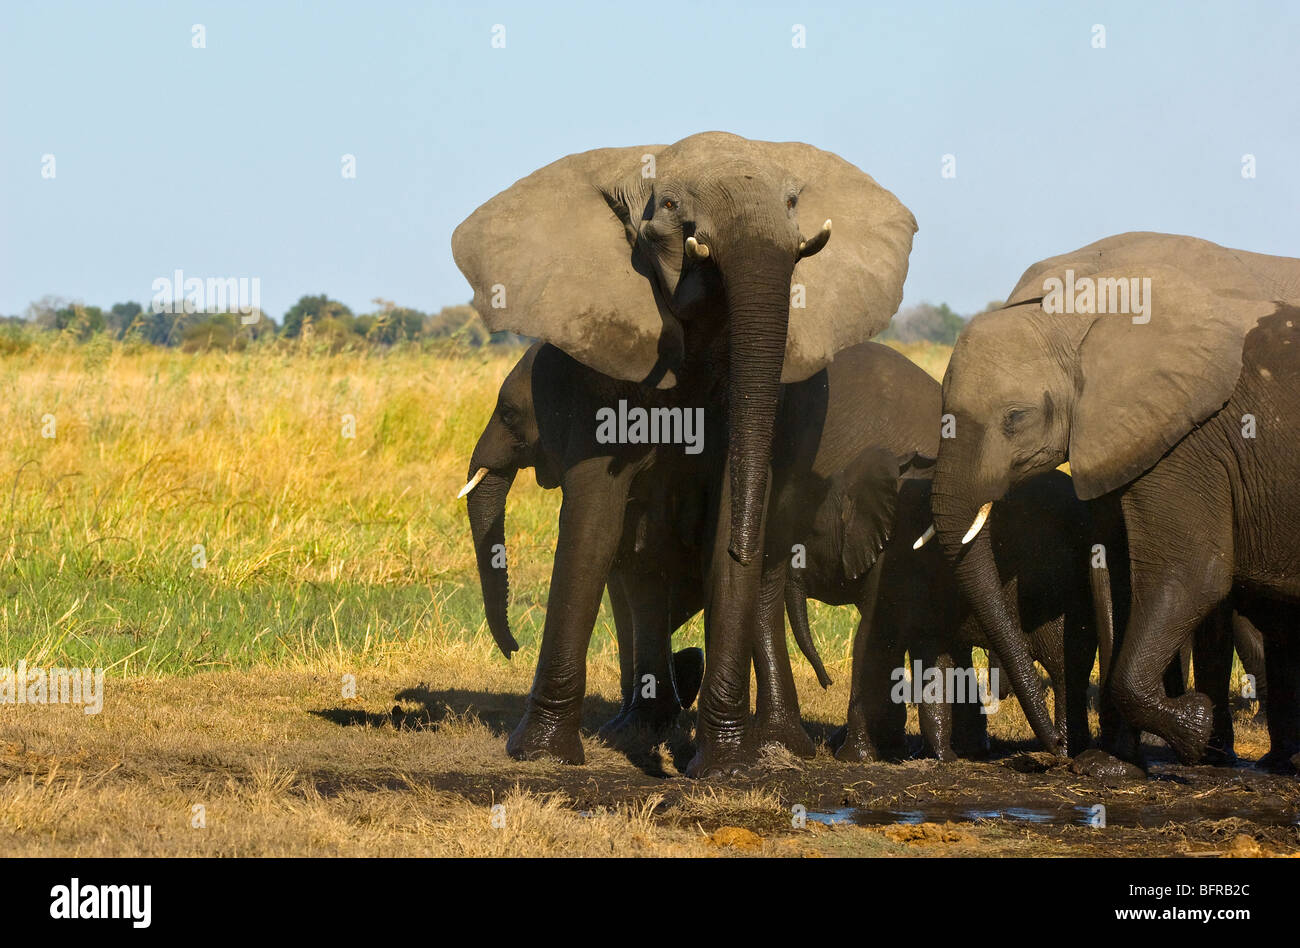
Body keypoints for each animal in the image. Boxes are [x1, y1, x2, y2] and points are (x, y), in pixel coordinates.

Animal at [453, 132, 915, 774]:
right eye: (670, 207)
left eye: (793, 201)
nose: (510, 649)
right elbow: (594, 525)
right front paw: (542, 757)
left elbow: (730, 513)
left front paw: (724, 767)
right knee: (640, 563)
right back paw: (638, 732)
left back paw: (767, 745)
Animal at [923, 231, 1300, 774]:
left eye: (1016, 418)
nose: (1054, 749)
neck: (1079, 315)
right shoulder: (1121, 443)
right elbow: (1115, 581)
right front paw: (1110, 765)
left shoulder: (1187, 440)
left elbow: (1193, 574)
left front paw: (1193, 727)